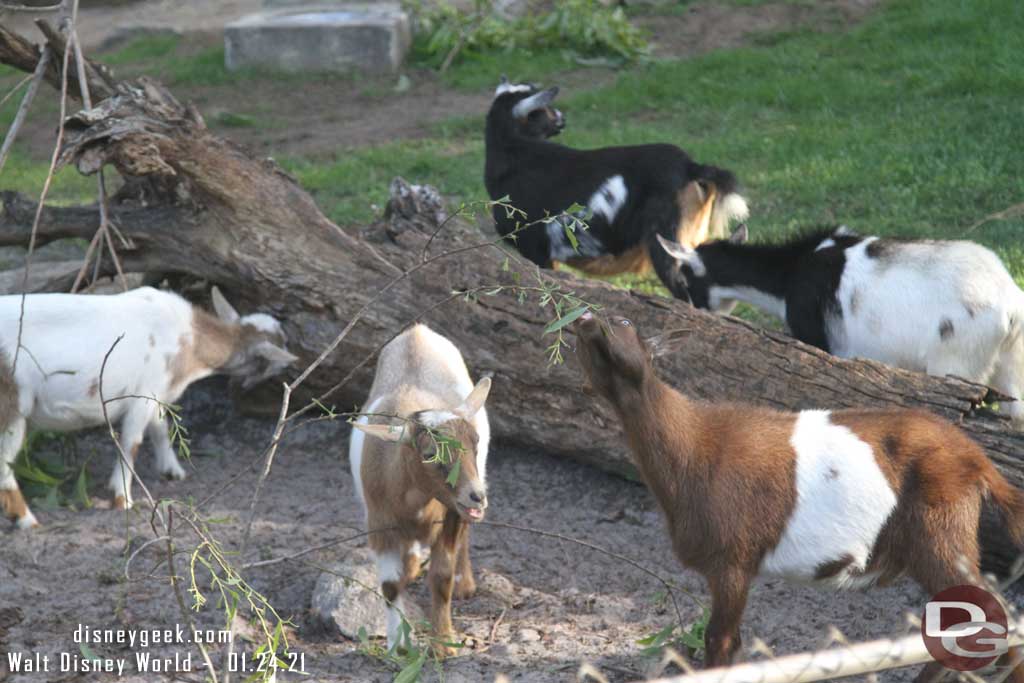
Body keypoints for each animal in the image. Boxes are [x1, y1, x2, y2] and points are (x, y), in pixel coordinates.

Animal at [0, 284, 296, 528]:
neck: (189, 339)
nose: (292, 370)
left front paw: (172, 470)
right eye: (276, 354)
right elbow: (131, 443)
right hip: (12, 403)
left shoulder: (156, 393)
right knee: (4, 463)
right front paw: (123, 498)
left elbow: (160, 427)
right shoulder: (143, 394)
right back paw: (26, 520)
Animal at [350, 325, 493, 655]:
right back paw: (413, 563)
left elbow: (441, 578)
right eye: (429, 454)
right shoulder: (380, 523)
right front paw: (397, 645)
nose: (477, 495)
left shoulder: (450, 514)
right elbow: (390, 586)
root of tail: (418, 331)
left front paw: (443, 644)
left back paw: (464, 583)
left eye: (475, 442)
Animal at [483, 78, 749, 292]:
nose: (562, 119)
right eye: (543, 111)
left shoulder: (536, 248)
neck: (515, 154)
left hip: (668, 239)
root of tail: (690, 166)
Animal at [573, 313, 1024, 679]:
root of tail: (978, 461)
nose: (584, 317)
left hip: (940, 533)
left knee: (991, 616)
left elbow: (720, 643)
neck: (693, 446)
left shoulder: (733, 561)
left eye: (625, 323)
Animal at [655, 227, 1024, 423]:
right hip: (1010, 362)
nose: (691, 311)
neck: (790, 275)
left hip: (957, 363)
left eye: (684, 283)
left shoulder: (816, 339)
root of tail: (1010, 302)